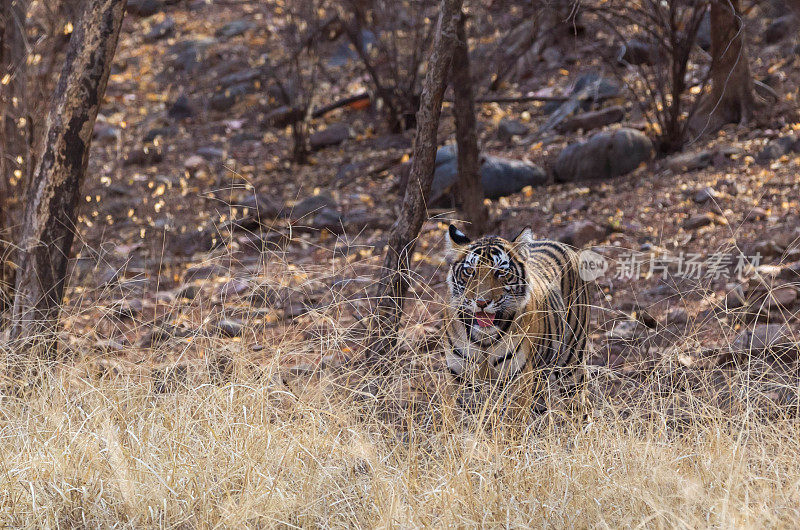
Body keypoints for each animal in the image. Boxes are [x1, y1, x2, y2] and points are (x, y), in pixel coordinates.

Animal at [440, 221, 592, 414]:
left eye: (500, 272)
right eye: (470, 271)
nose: (481, 302)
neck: (484, 338)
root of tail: (562, 244)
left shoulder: (517, 380)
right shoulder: (460, 378)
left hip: (572, 364)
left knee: (580, 406)